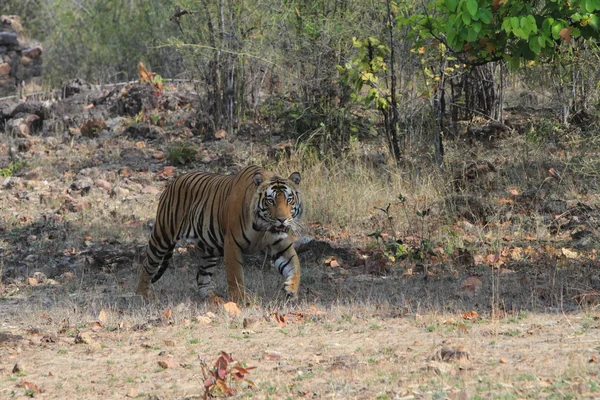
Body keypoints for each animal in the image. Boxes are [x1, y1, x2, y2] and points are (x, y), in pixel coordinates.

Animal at [136, 164, 304, 302]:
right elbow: (235, 275)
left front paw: (291, 290)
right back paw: (141, 295)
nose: (282, 219)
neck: (262, 227)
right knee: (147, 266)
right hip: (162, 236)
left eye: (289, 200)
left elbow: (295, 266)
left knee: (201, 277)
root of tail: (174, 181)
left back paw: (212, 299)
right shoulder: (232, 244)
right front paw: (240, 300)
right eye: (270, 200)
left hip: (207, 250)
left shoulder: (281, 245)